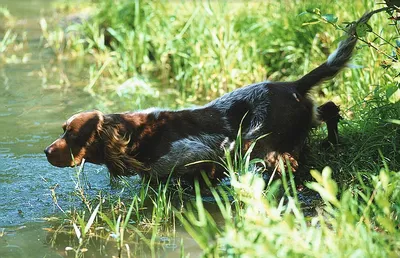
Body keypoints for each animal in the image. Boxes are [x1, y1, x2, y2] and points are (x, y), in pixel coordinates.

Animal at [44, 12, 372, 182]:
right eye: (63, 130)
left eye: (72, 135)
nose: (46, 152)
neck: (135, 136)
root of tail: (292, 85)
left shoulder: (200, 157)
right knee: (329, 109)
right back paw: (332, 141)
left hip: (258, 143)